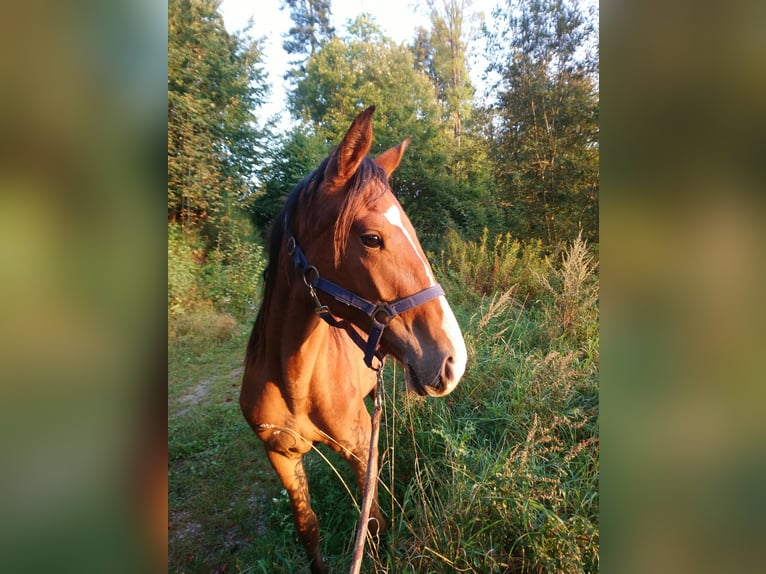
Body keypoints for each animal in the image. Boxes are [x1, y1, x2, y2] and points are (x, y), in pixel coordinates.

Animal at [240, 106, 467, 574]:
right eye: (372, 238)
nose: (454, 360)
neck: (294, 381)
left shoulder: (362, 451)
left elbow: (373, 522)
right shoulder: (281, 456)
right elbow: (308, 527)